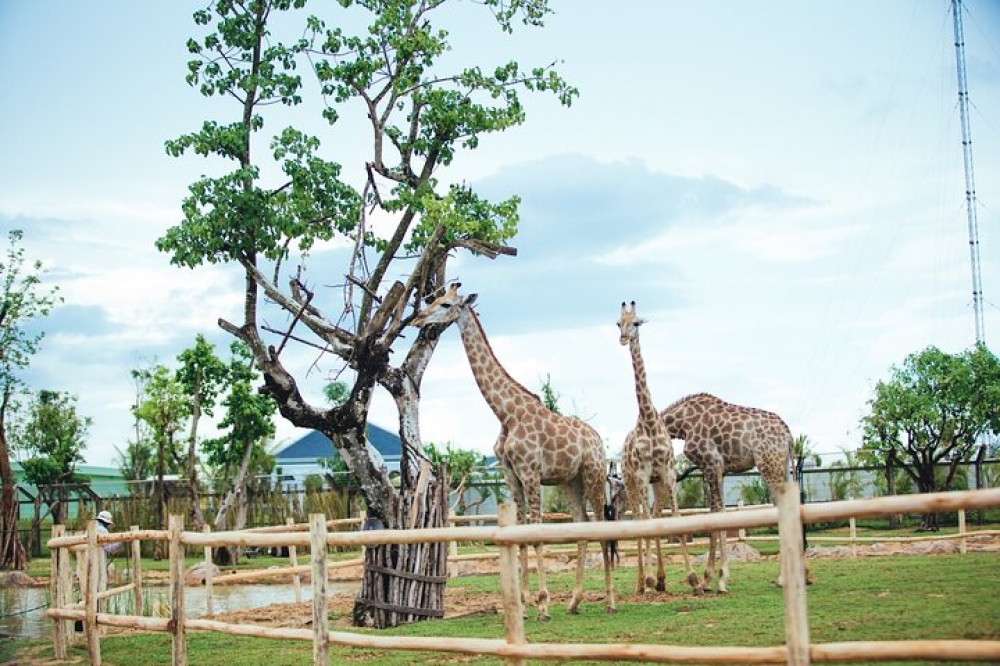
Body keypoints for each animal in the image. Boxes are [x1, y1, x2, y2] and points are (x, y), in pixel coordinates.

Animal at [408, 282, 612, 616]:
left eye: (446, 304)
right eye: (434, 299)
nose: (417, 319)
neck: (505, 414)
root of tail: (597, 440)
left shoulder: (530, 472)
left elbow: (537, 532)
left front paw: (542, 604)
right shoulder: (511, 475)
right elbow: (521, 532)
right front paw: (526, 603)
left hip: (593, 474)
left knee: (603, 526)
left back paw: (610, 601)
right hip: (571, 481)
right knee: (582, 524)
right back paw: (573, 601)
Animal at [612, 300, 700, 592]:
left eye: (637, 322)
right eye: (618, 323)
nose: (623, 338)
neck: (649, 423)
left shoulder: (667, 473)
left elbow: (674, 519)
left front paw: (694, 580)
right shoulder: (641, 474)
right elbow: (646, 522)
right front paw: (650, 579)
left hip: (656, 483)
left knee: (654, 513)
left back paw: (660, 580)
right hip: (631, 483)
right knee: (641, 518)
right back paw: (643, 582)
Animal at [664, 390, 796, 592]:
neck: (682, 424)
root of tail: (787, 433)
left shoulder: (712, 464)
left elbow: (716, 514)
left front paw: (716, 579)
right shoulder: (720, 470)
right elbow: (719, 513)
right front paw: (710, 579)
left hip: (768, 464)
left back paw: (782, 578)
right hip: (783, 465)